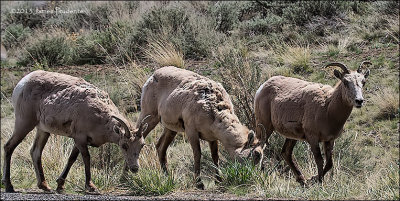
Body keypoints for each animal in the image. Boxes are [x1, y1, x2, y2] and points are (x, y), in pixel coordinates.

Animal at [1, 70, 144, 193]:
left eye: (141, 145)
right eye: (124, 145)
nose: (135, 168)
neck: (99, 115)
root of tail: (22, 83)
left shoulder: (79, 140)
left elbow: (72, 159)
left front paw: (60, 186)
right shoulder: (80, 138)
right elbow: (86, 158)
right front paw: (91, 186)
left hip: (42, 130)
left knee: (35, 152)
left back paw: (45, 186)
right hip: (24, 123)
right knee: (9, 147)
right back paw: (9, 186)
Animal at [130, 66, 266, 189]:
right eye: (256, 154)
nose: (255, 176)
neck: (214, 112)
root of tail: (152, 77)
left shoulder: (212, 137)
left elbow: (215, 156)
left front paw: (219, 180)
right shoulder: (191, 131)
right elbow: (197, 154)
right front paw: (199, 183)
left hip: (170, 129)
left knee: (160, 147)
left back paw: (166, 176)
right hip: (149, 115)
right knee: (136, 136)